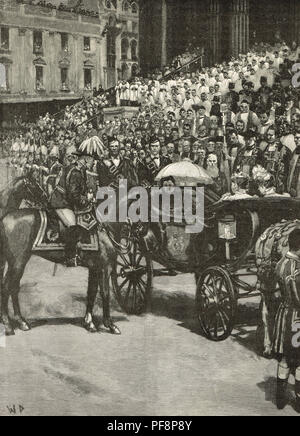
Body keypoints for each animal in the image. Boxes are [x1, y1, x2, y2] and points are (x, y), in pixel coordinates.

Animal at [0, 177, 125, 338]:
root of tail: (5, 218)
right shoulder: (105, 267)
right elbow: (105, 293)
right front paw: (110, 325)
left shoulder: (95, 268)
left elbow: (91, 292)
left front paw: (89, 323)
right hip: (17, 262)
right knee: (6, 287)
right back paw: (9, 326)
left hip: (19, 261)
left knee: (13, 287)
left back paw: (21, 322)